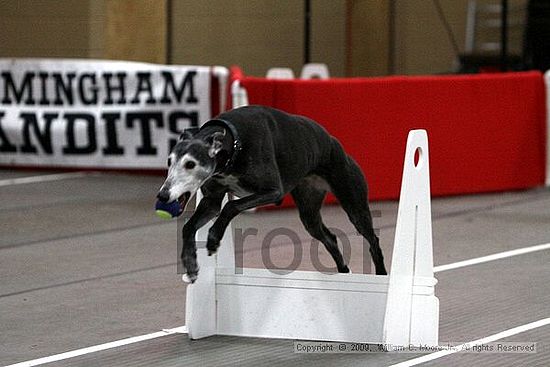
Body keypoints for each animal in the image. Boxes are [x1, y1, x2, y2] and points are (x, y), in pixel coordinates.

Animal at [156, 105, 388, 284]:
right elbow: (188, 227)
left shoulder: (272, 191)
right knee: (330, 238)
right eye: (169, 161)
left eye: (190, 164)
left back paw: (381, 274)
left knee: (373, 240)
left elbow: (231, 207)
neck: (234, 143)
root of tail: (334, 143)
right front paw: (190, 264)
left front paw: (213, 239)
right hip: (309, 212)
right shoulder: (212, 201)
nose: (163, 196)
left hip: (354, 202)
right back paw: (344, 271)